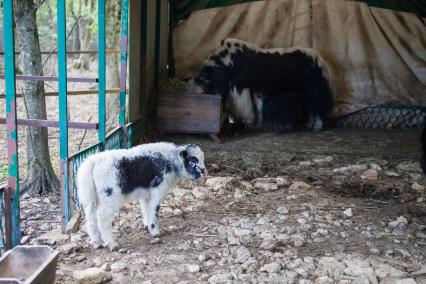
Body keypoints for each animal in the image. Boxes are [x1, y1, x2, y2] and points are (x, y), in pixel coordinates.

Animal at [77, 143, 206, 250]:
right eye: (193, 161)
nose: (204, 171)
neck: (170, 161)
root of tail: (92, 162)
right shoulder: (157, 189)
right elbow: (154, 209)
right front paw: (155, 232)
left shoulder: (146, 194)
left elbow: (145, 209)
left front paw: (147, 226)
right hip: (110, 195)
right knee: (102, 217)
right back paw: (112, 244)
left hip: (92, 197)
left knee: (91, 218)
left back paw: (97, 243)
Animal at [188, 38, 334, 133]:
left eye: (204, 88)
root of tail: (320, 59)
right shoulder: (255, 89)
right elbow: (258, 106)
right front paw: (257, 125)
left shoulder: (240, 87)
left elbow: (243, 107)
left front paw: (243, 124)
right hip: (305, 91)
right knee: (311, 107)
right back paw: (309, 125)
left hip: (315, 89)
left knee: (317, 106)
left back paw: (317, 127)